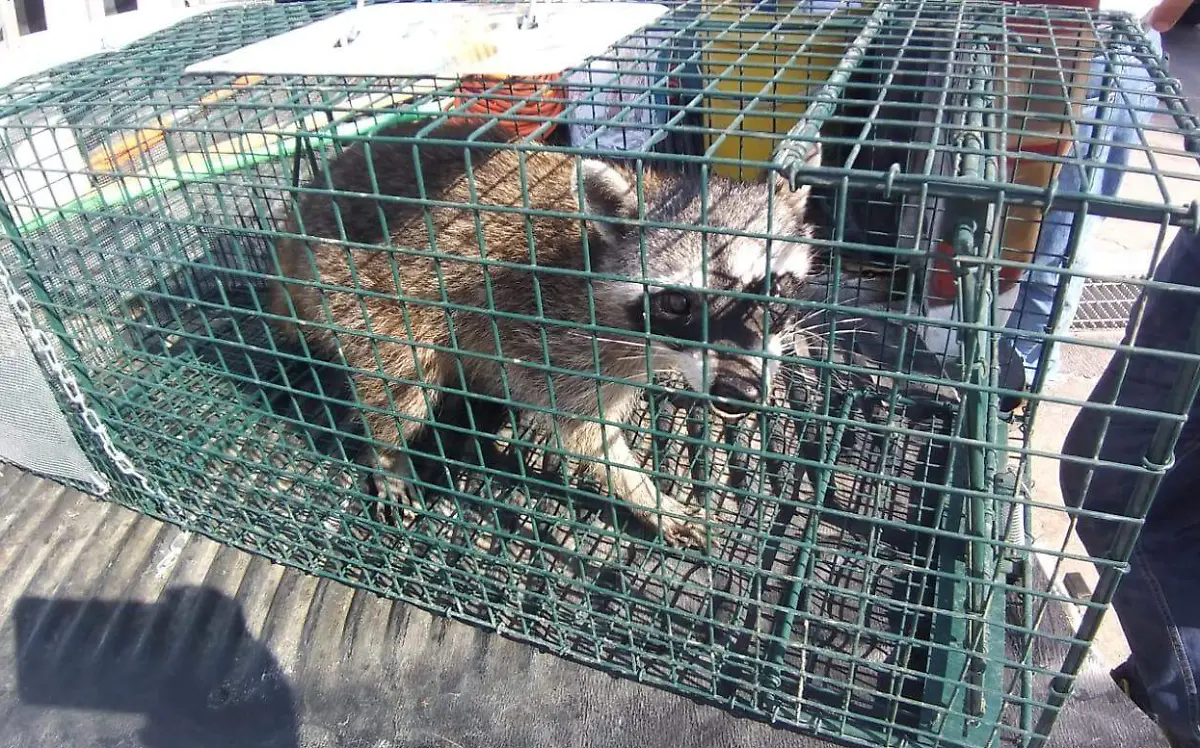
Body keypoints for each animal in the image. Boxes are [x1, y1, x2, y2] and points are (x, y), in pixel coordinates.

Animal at [268, 120, 820, 547]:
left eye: (772, 291)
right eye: (678, 304)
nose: (737, 391)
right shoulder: (559, 341)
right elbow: (587, 438)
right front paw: (644, 494)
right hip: (364, 295)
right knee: (400, 388)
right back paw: (386, 454)